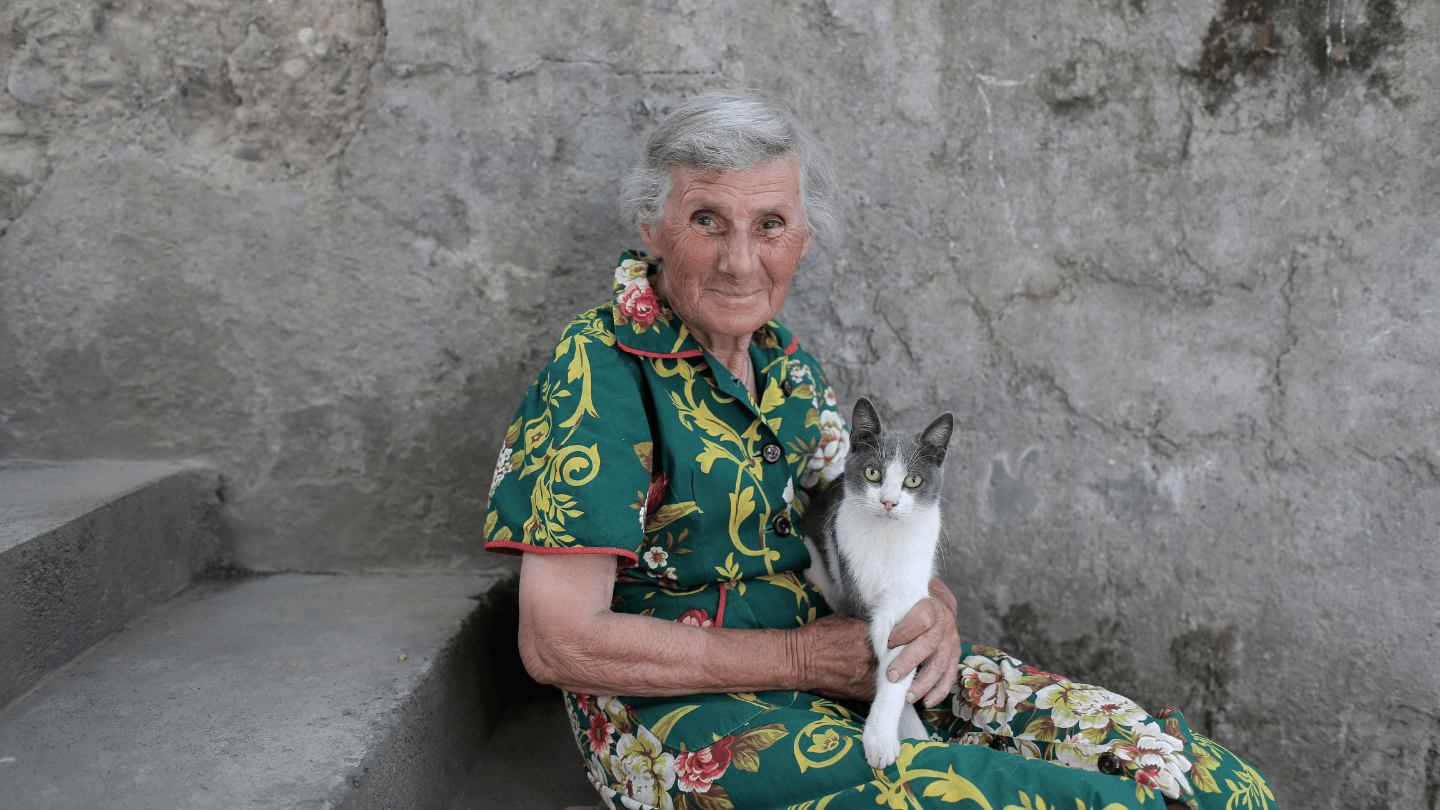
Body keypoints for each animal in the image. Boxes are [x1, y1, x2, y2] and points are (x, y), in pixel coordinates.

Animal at [806, 394, 950, 766]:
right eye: (873, 473)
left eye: (912, 481)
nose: (888, 502)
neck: (887, 536)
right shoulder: (851, 570)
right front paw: (891, 736)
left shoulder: (907, 600)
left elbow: (898, 668)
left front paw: (883, 736)